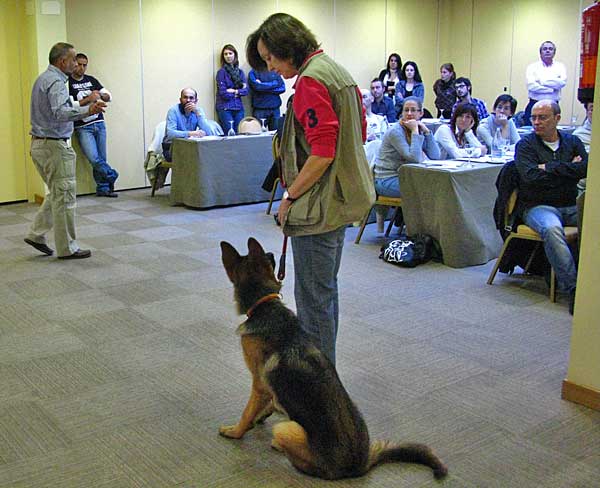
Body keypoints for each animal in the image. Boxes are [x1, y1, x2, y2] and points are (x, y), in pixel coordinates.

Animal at [218, 237, 448, 480]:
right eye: (269, 260)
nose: (273, 253)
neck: (266, 306)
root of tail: (361, 464)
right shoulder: (268, 387)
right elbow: (267, 402)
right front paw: (263, 414)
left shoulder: (259, 384)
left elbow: (247, 411)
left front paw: (236, 431)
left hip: (286, 429)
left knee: (302, 462)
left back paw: (279, 447)